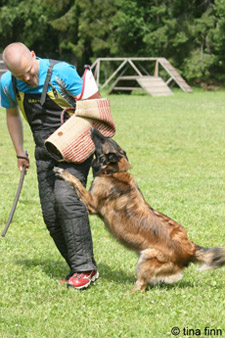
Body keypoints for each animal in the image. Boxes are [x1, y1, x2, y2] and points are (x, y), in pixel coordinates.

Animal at [53, 128, 225, 292]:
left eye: (103, 140)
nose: (93, 129)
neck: (113, 171)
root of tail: (189, 248)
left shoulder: (92, 204)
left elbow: (76, 182)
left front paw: (63, 173)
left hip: (147, 257)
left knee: (141, 286)